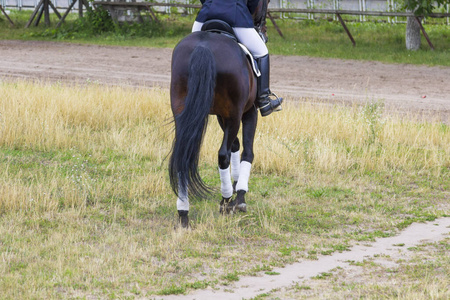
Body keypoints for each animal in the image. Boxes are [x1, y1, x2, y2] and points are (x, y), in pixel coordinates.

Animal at [168, 1, 268, 229]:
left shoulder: (223, 116)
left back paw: (183, 212)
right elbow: (247, 151)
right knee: (222, 155)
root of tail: (203, 47)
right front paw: (240, 195)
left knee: (182, 154)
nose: (263, 28)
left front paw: (236, 183)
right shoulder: (247, 111)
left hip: (183, 112)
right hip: (235, 114)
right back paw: (225, 200)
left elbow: (235, 146)